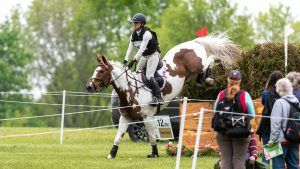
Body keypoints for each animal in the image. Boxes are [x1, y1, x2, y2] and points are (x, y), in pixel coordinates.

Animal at [85, 34, 241, 158]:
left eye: (101, 71)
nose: (89, 87)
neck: (129, 89)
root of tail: (194, 42)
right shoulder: (126, 118)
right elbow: (118, 138)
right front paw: (111, 154)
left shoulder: (147, 117)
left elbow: (151, 137)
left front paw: (154, 153)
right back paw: (204, 78)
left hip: (198, 64)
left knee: (211, 59)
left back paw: (209, 77)